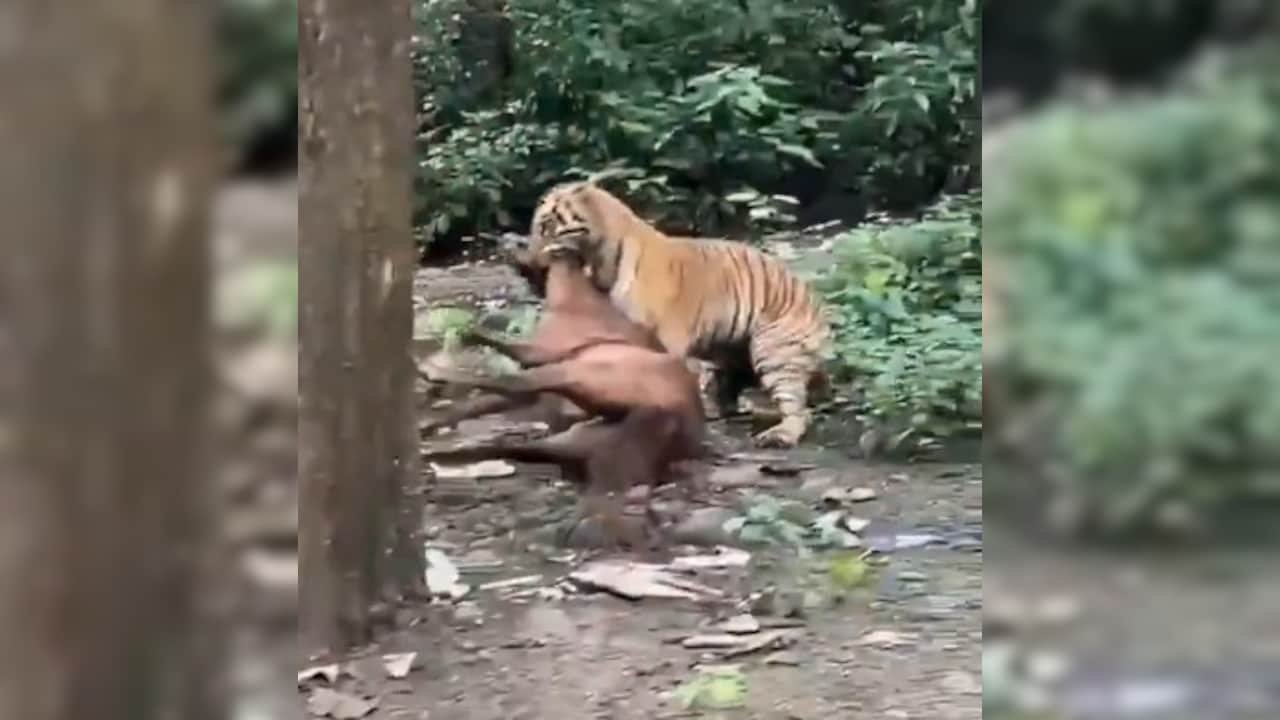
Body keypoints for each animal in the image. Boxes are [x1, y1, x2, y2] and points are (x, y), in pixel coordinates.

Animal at [508, 181, 830, 448]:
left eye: (546, 226)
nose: (527, 259)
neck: (598, 264)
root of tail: (814, 300)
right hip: (731, 353)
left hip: (774, 352)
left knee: (798, 408)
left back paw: (781, 435)